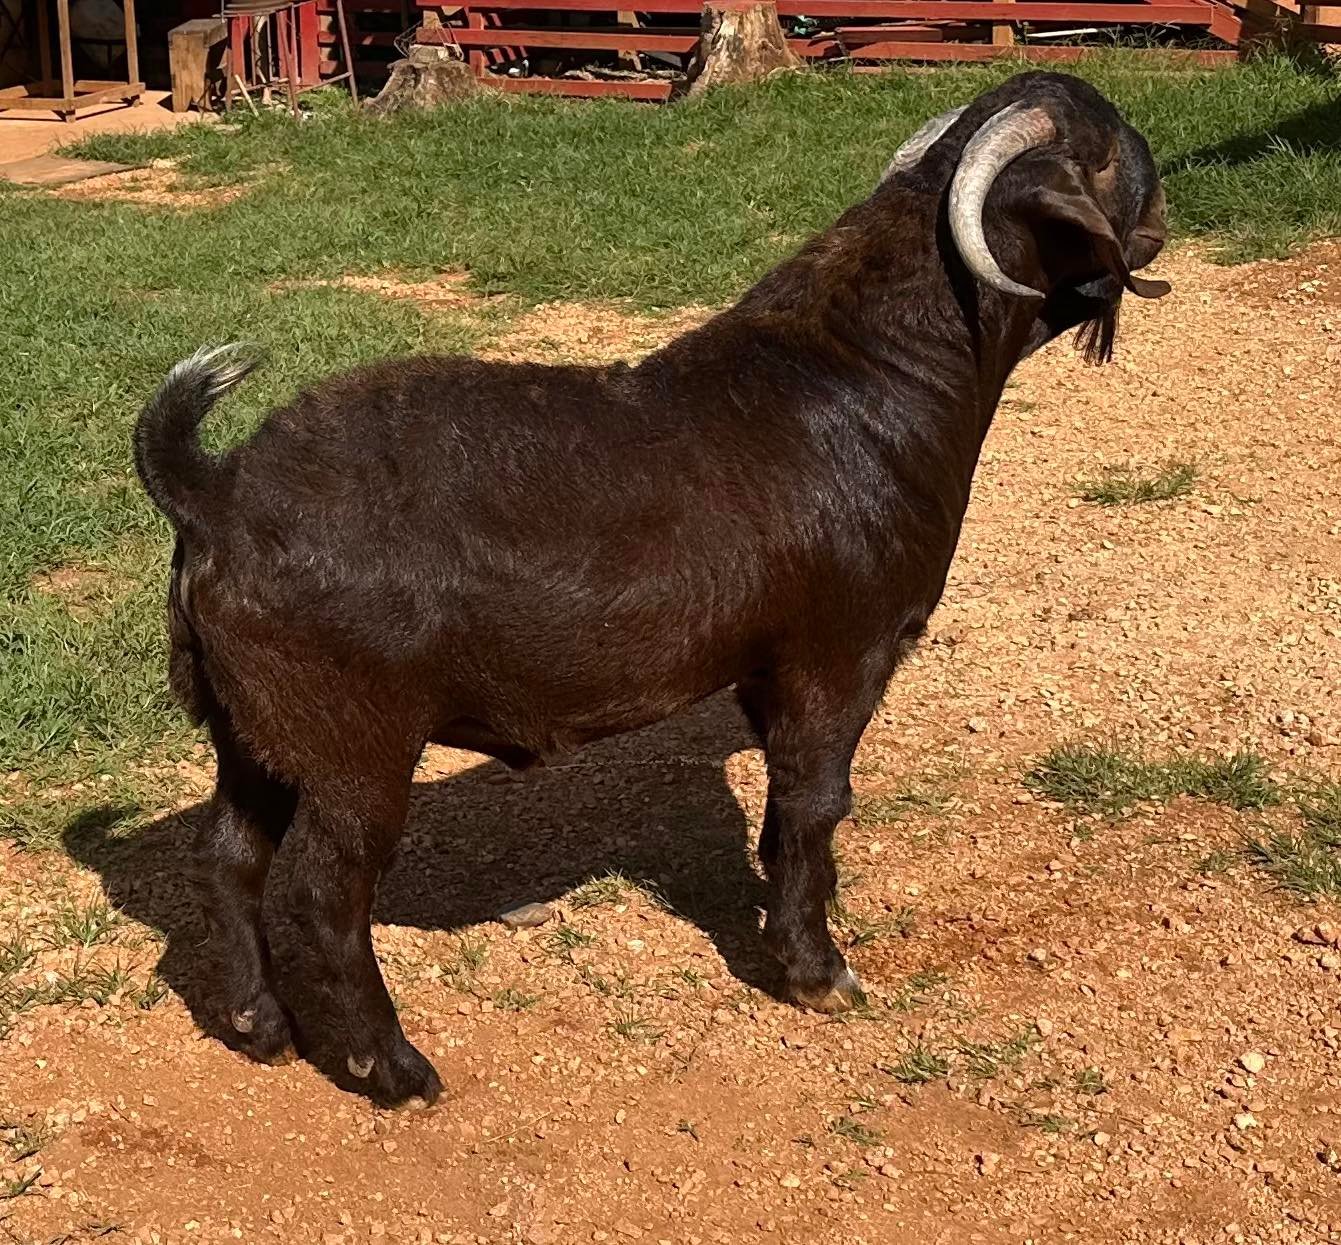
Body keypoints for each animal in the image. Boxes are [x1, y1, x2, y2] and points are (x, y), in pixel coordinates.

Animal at [134, 71, 1170, 1106]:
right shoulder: (841, 653)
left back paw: (259, 1025)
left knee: (229, 858)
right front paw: (816, 971)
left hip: (252, 736)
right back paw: (388, 1065)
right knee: (322, 895)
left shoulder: (763, 669)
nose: (1160, 227)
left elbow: (781, 810)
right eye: (1116, 145)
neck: (869, 370)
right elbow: (817, 800)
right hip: (355, 749)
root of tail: (216, 490)